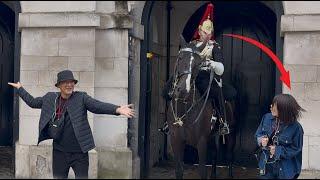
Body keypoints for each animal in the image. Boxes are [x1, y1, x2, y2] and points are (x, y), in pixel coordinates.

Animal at [164, 35, 236, 179]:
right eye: (180, 58)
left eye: (197, 63)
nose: (183, 90)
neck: (185, 108)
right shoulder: (176, 140)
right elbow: (179, 171)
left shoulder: (201, 142)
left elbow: (202, 171)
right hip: (213, 136)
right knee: (214, 153)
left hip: (231, 132)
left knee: (229, 155)